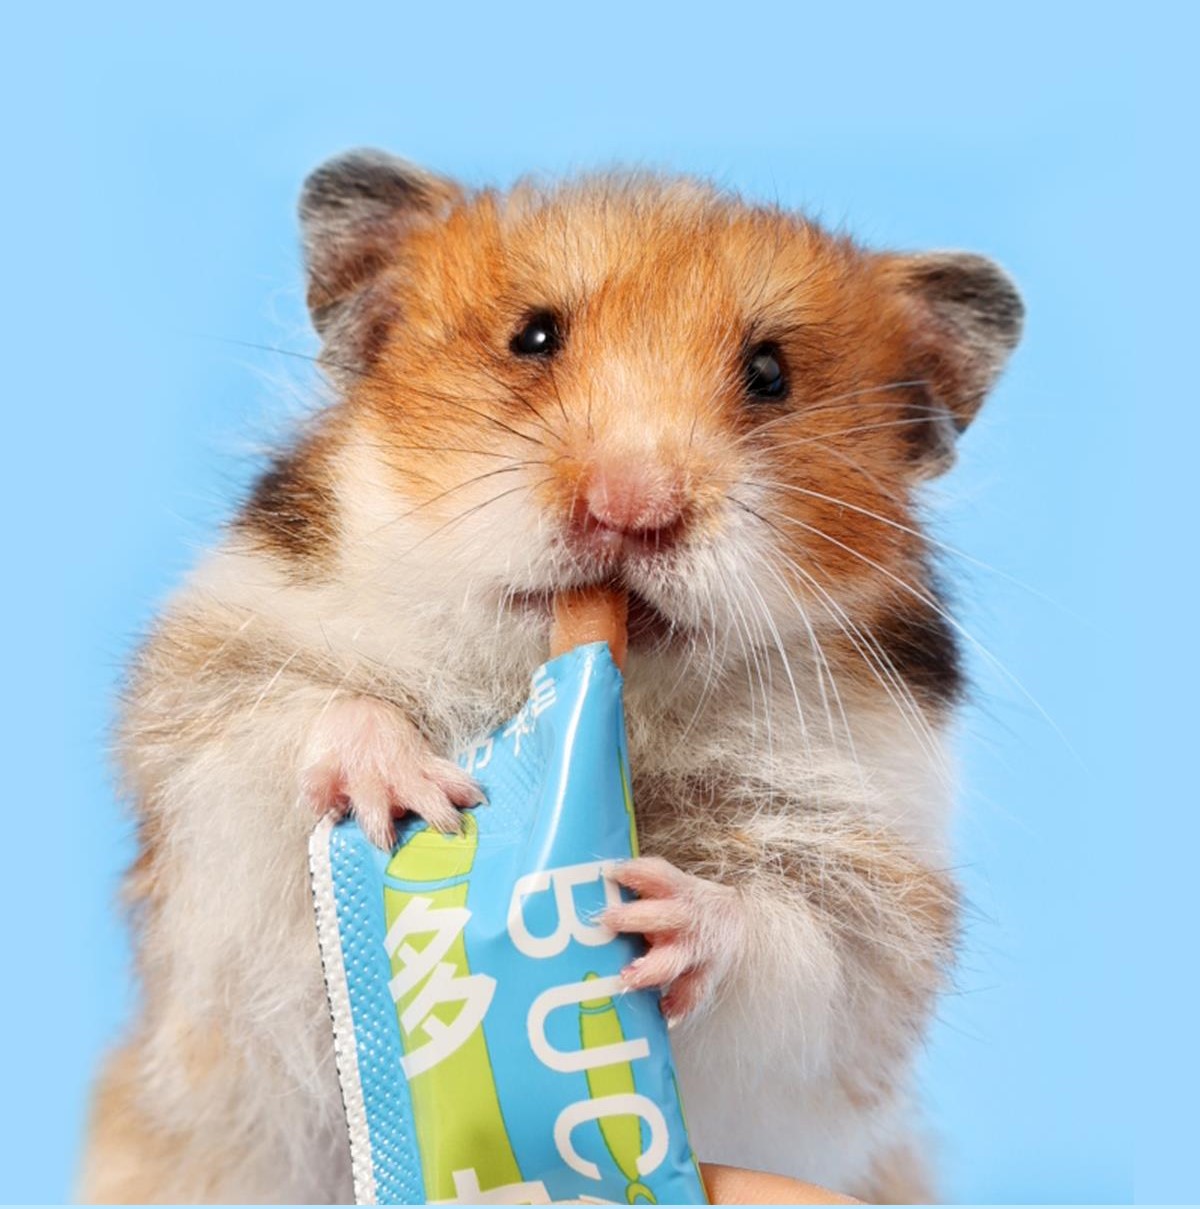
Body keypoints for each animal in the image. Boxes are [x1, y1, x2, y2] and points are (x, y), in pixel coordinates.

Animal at [79, 150, 1022, 1203]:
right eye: (532, 336)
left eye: (771, 373)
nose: (630, 506)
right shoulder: (207, 715)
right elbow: (303, 716)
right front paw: (414, 792)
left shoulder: (871, 888)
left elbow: (799, 943)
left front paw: (660, 913)